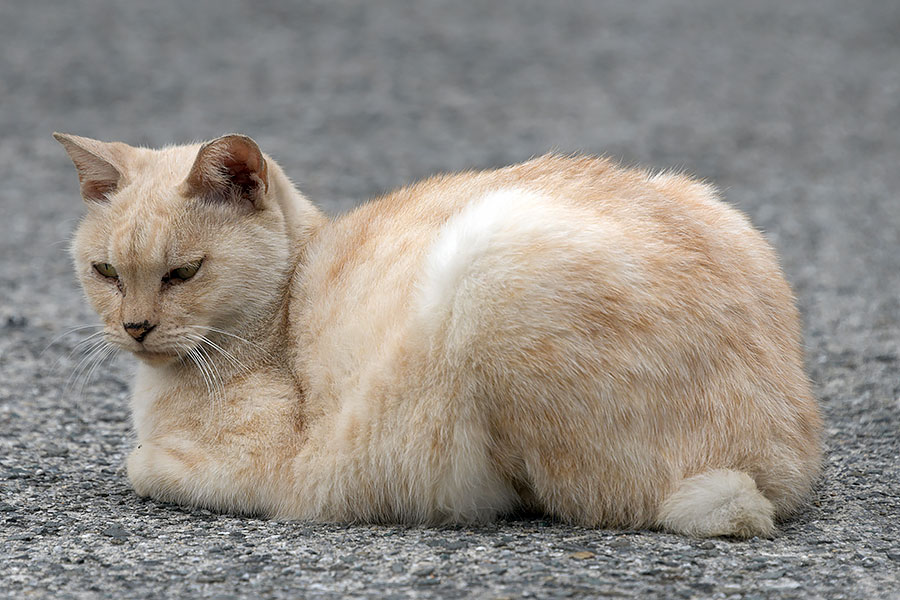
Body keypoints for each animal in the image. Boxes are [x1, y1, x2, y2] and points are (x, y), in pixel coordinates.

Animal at [52, 132, 820, 540]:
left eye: (183, 272)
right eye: (105, 272)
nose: (135, 327)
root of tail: (780, 465)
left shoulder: (267, 466)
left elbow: (142, 464)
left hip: (487, 266)